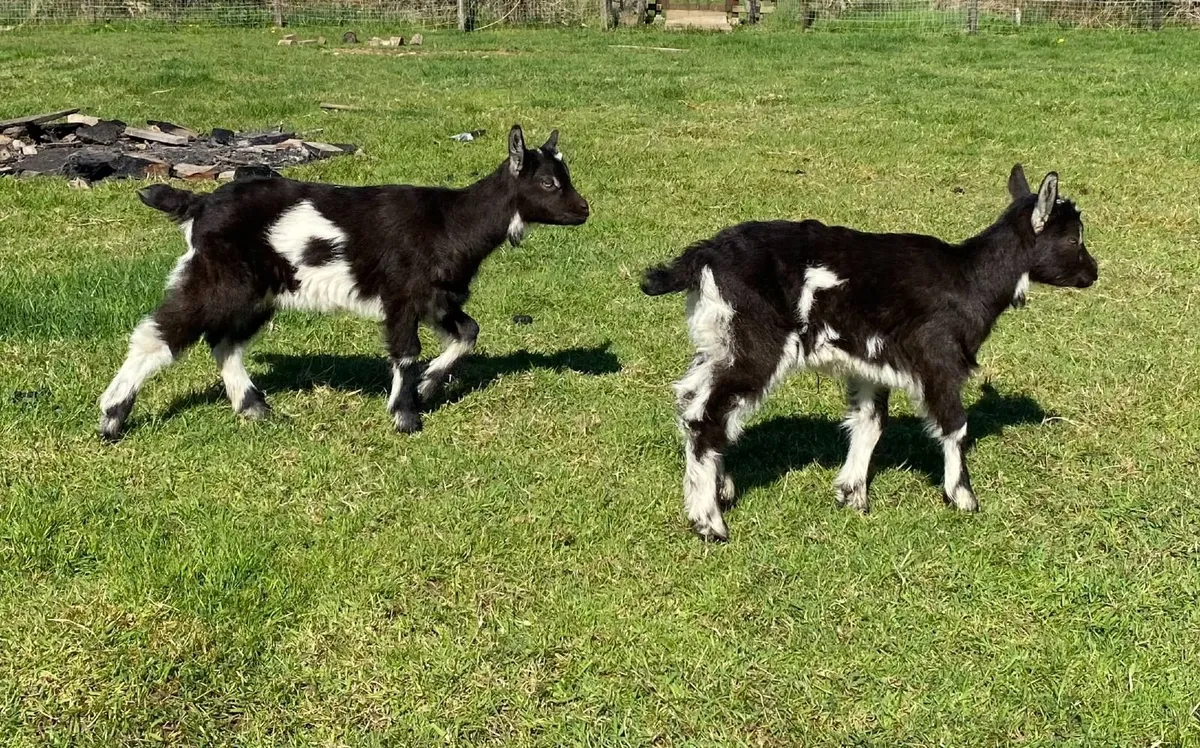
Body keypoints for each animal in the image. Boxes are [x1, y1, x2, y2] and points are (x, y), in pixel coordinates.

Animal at [99, 125, 589, 440]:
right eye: (548, 182)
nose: (585, 209)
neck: (449, 223)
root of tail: (199, 206)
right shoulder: (402, 295)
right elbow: (406, 352)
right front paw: (405, 417)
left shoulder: (437, 297)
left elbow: (468, 332)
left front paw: (430, 385)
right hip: (216, 277)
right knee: (159, 334)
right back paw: (112, 418)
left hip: (256, 290)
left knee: (224, 342)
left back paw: (256, 408)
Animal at [641, 165, 1098, 540]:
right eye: (1073, 237)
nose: (1093, 273)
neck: (969, 280)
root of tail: (703, 256)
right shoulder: (939, 359)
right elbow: (955, 425)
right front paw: (964, 498)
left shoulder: (872, 365)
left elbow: (870, 422)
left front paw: (853, 495)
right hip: (755, 345)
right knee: (706, 416)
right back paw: (710, 523)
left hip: (718, 342)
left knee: (693, 402)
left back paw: (721, 488)